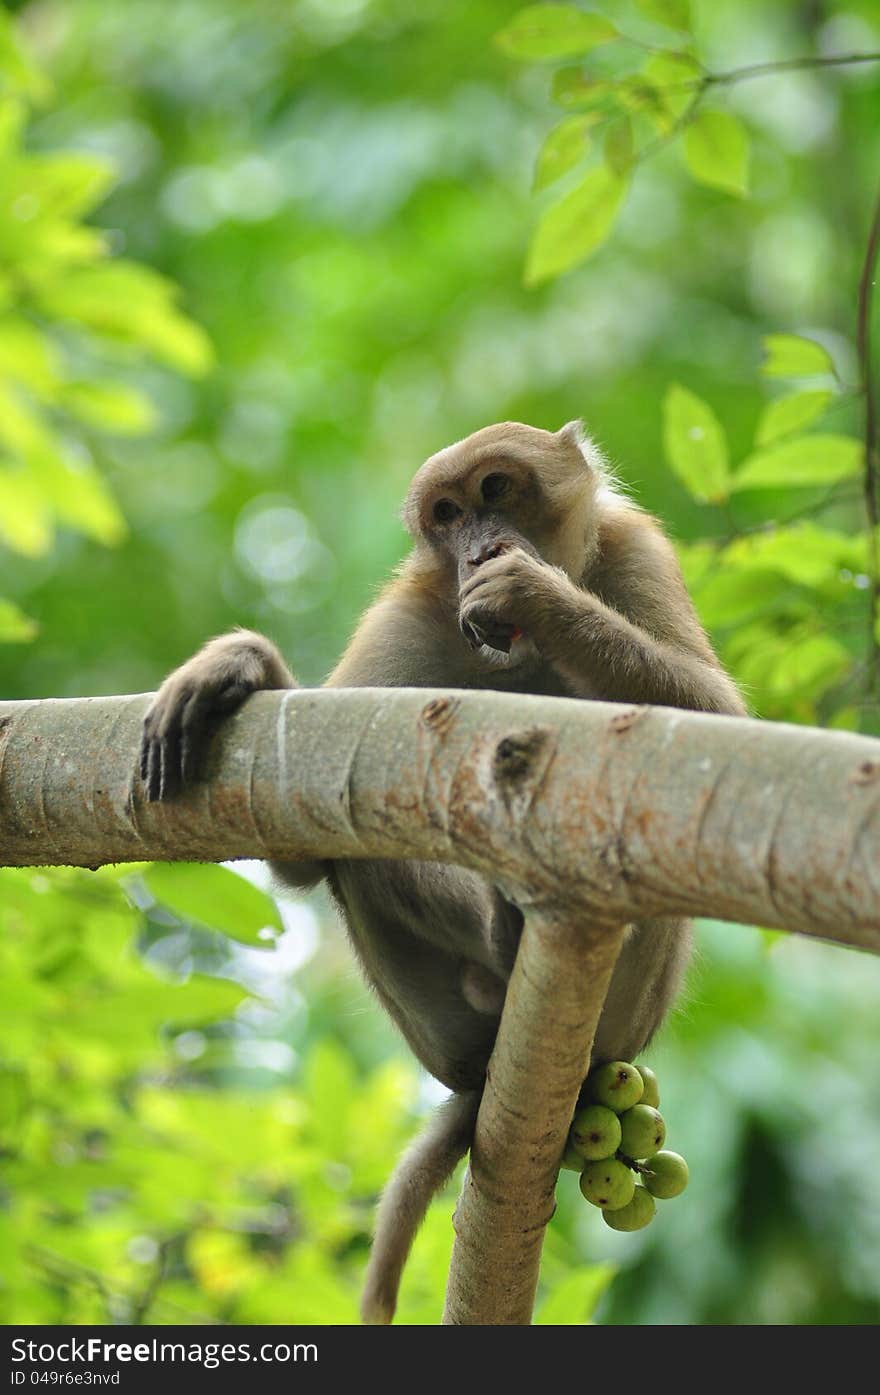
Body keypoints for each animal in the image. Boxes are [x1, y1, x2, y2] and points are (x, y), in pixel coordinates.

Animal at [139, 418, 741, 1322]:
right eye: (446, 514)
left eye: (496, 490)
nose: (477, 546)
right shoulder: (408, 616)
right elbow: (307, 856)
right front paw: (244, 666)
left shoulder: (636, 550)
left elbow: (717, 729)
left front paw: (539, 596)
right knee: (365, 861)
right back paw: (503, 944)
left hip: (632, 1006)